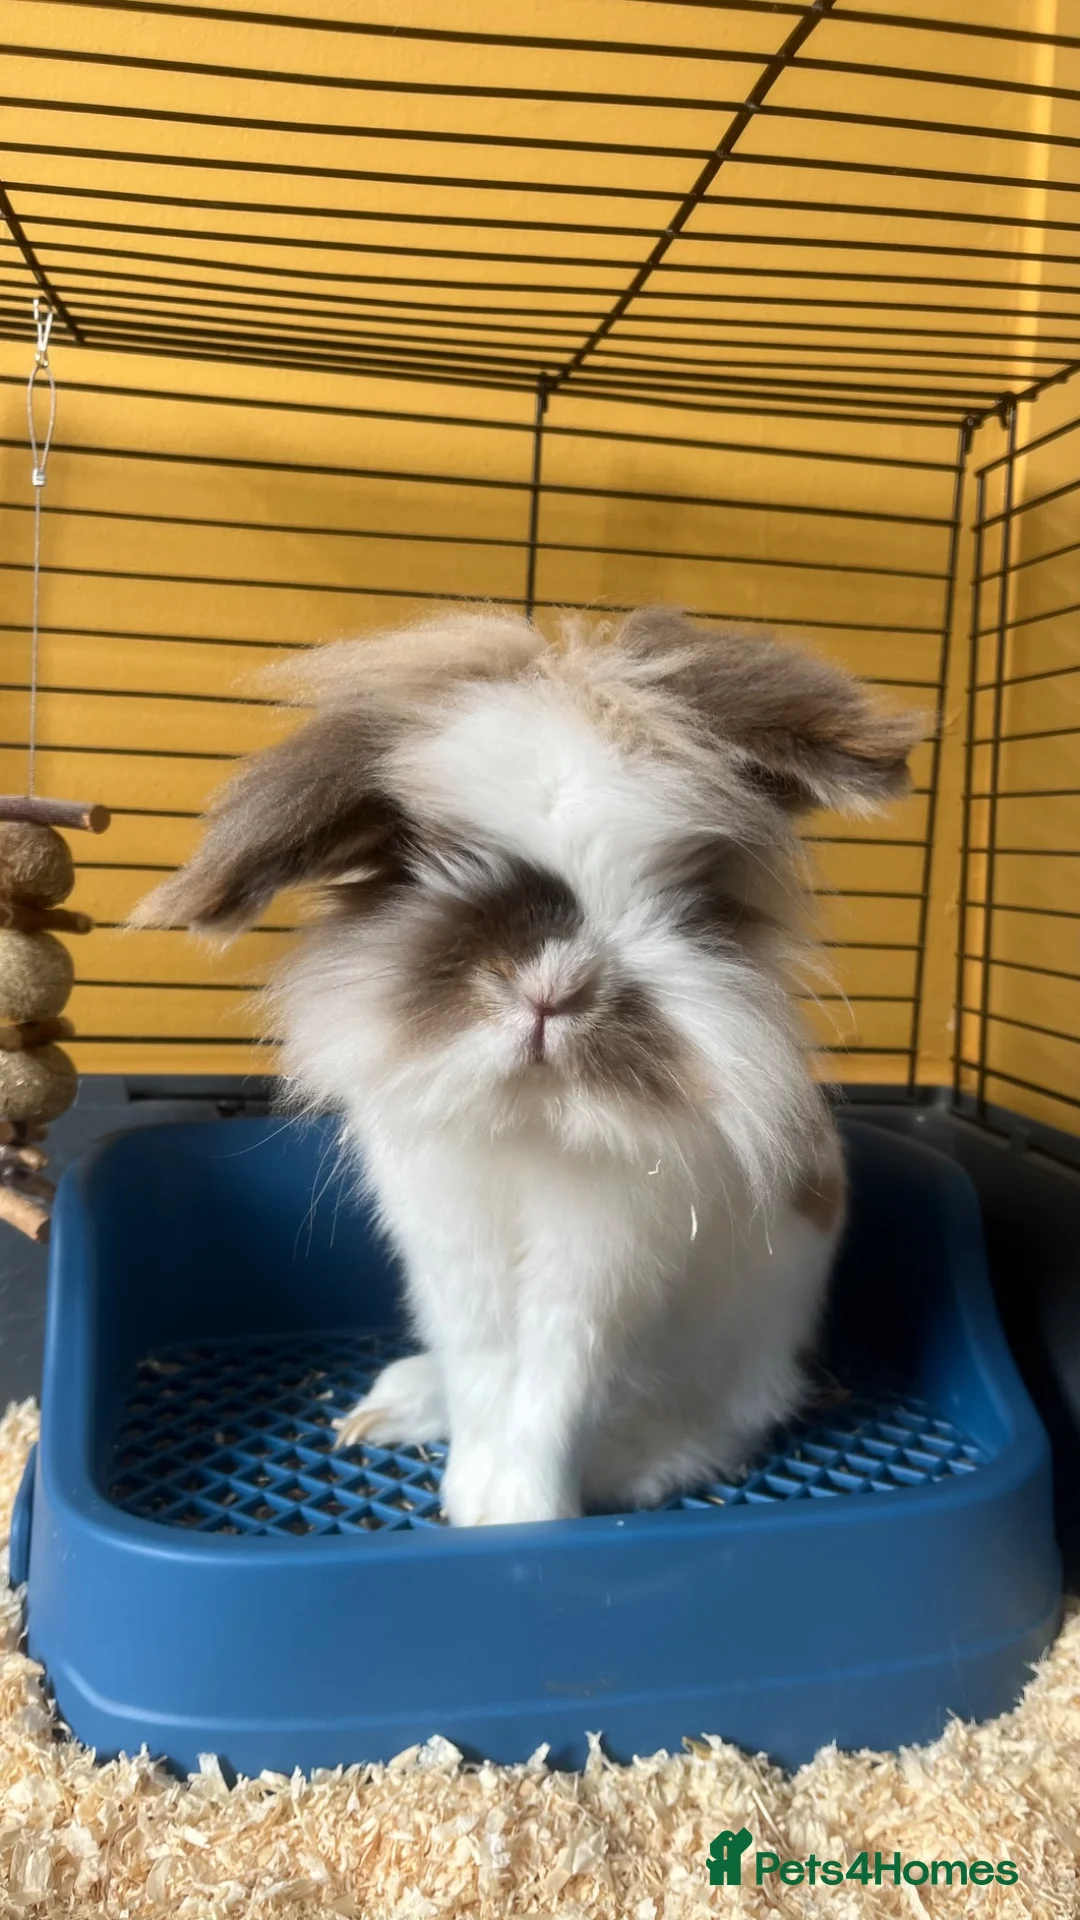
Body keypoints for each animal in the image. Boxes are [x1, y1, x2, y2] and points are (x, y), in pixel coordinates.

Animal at [133, 606, 926, 1527]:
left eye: (687, 891)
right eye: (421, 854)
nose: (552, 988)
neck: (534, 1116)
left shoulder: (598, 1267)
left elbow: (555, 1387)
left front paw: (514, 1516)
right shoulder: (452, 1249)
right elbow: (486, 1374)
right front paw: (473, 1493)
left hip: (743, 1349)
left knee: (726, 1423)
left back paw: (635, 1466)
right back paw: (391, 1408)